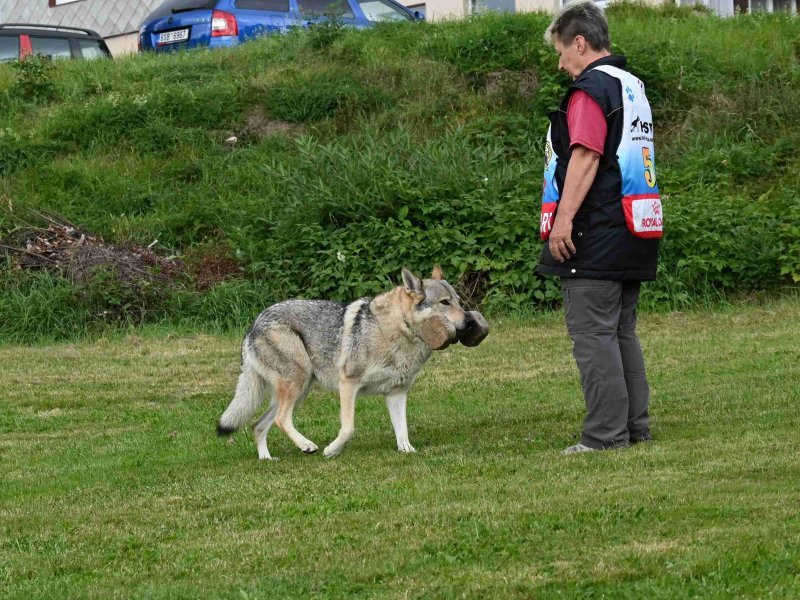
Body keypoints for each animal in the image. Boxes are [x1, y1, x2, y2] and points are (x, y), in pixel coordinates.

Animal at [216, 268, 488, 460]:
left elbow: (403, 431)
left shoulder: (397, 393)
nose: (470, 322)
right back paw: (307, 446)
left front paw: (408, 452)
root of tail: (254, 323)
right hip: (297, 385)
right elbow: (348, 428)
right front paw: (332, 451)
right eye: (445, 302)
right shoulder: (348, 384)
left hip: (299, 391)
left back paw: (267, 459)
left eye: (459, 301)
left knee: (258, 425)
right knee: (281, 420)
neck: (398, 332)